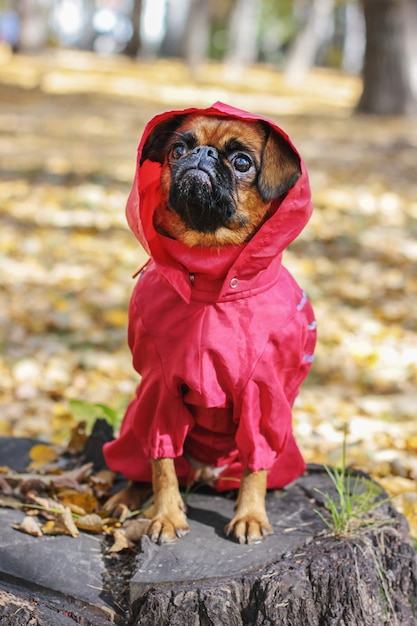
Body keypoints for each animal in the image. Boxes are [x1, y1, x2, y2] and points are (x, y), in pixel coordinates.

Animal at [104, 102, 316, 540]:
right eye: (178, 150)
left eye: (242, 162)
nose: (202, 156)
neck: (209, 270)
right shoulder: (158, 392)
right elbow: (161, 464)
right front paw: (167, 516)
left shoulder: (262, 399)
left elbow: (256, 464)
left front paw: (250, 515)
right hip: (134, 417)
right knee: (140, 464)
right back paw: (126, 498)